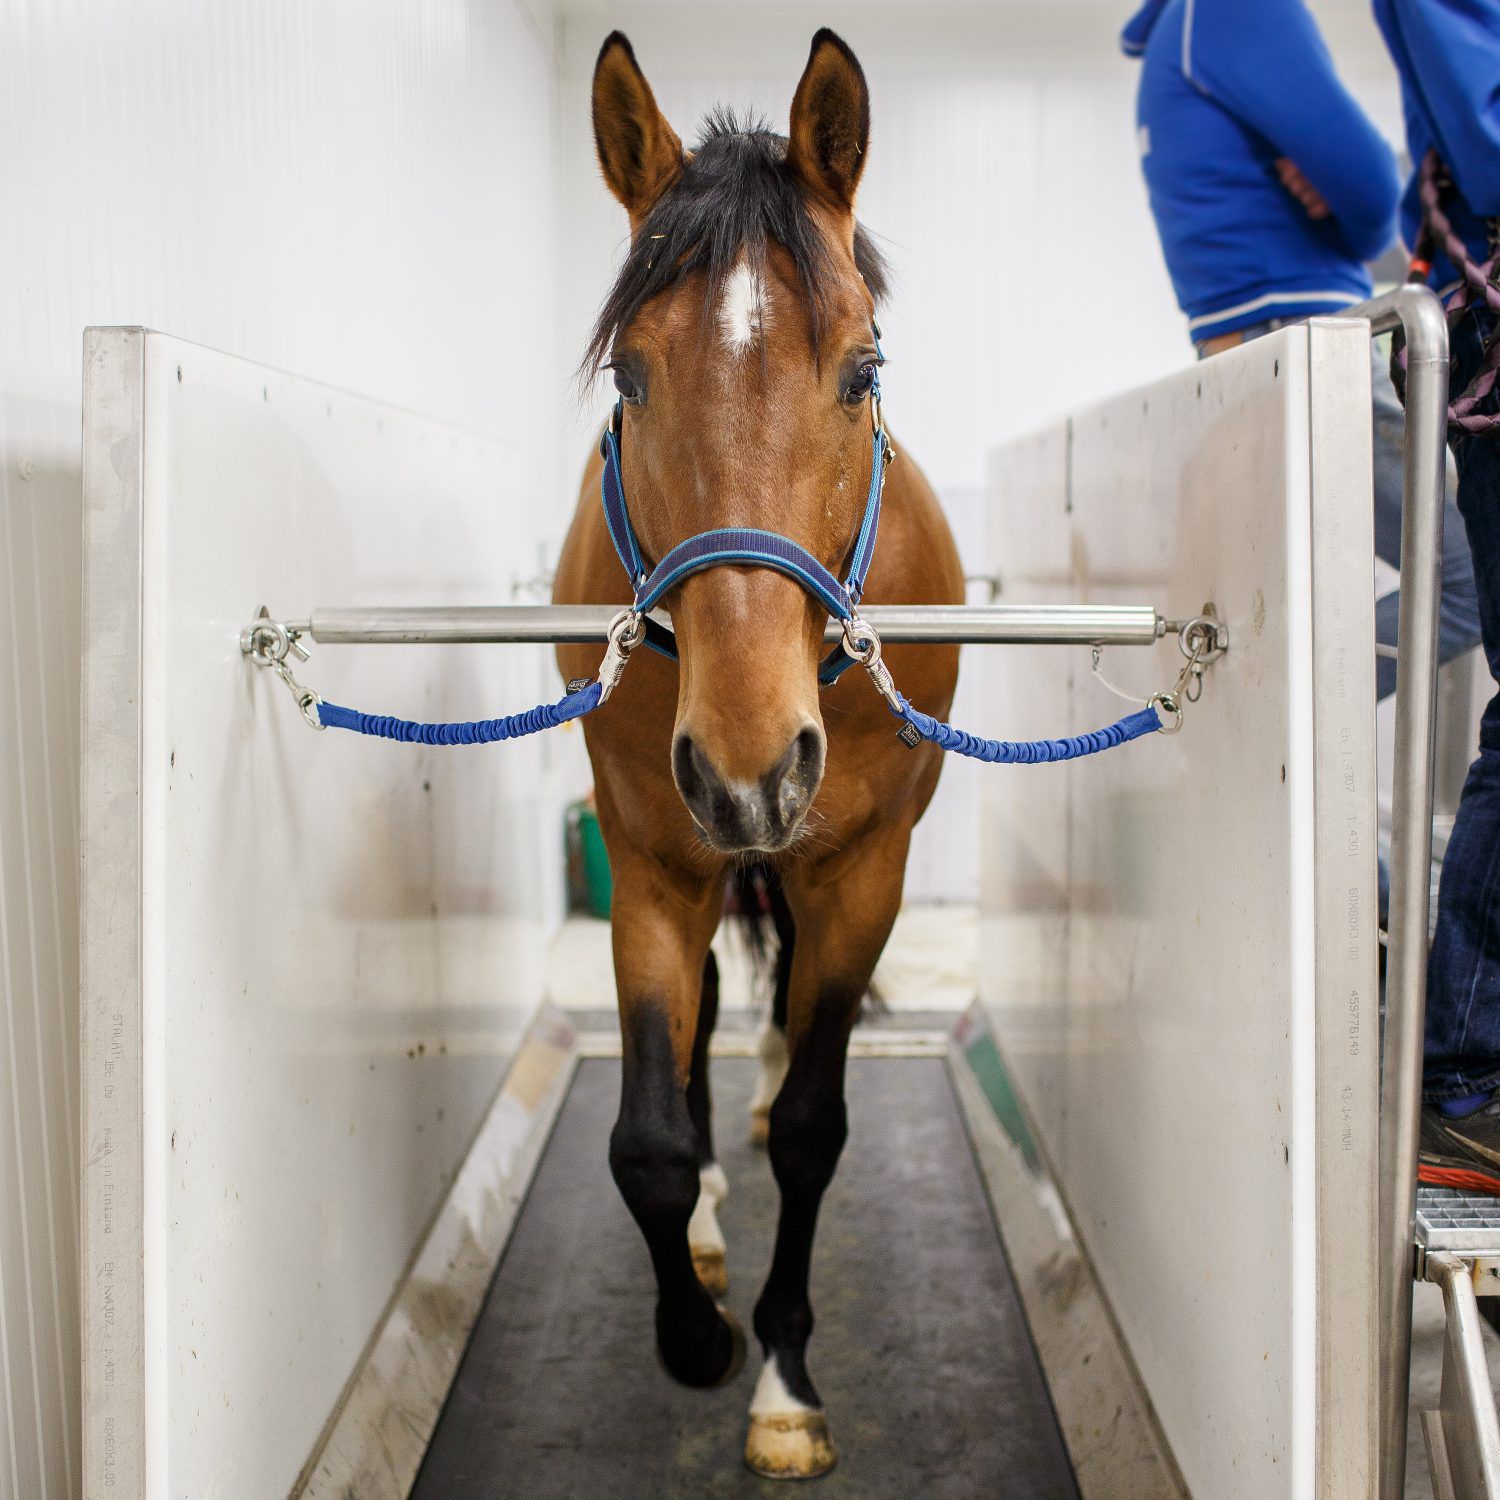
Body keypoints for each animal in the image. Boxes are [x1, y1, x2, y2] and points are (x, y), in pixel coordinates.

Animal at [552, 26, 960, 1476]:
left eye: (863, 370)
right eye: (629, 375)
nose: (749, 765)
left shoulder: (863, 873)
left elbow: (820, 1132)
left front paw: (783, 1378)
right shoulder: (653, 861)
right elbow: (647, 1142)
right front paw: (696, 1333)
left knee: (787, 1047)